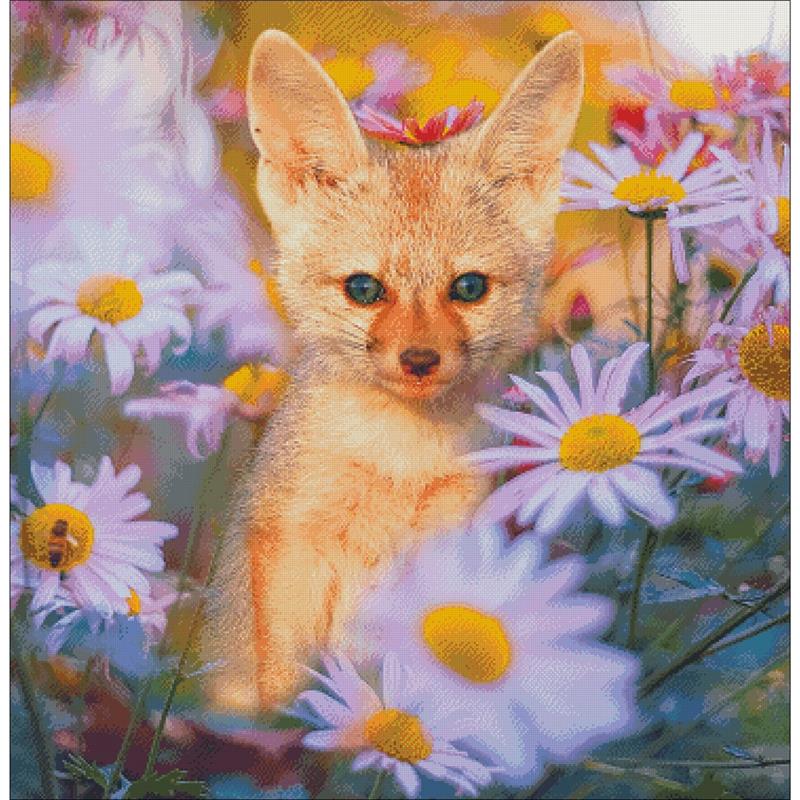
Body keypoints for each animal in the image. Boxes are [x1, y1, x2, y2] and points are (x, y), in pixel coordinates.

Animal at [206, 28, 584, 711]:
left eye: (468, 288)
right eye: (364, 288)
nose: (419, 359)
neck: (397, 461)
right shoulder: (290, 554)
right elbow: (285, 696)